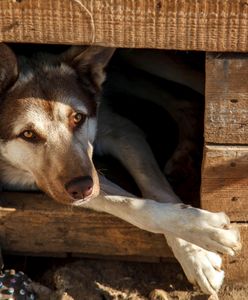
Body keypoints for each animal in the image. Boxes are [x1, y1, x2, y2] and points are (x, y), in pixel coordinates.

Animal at [0, 43, 241, 296]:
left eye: (78, 118)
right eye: (28, 134)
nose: (82, 188)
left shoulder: (122, 133)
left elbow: (156, 191)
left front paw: (196, 251)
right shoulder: (38, 180)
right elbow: (134, 207)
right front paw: (203, 236)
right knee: (184, 103)